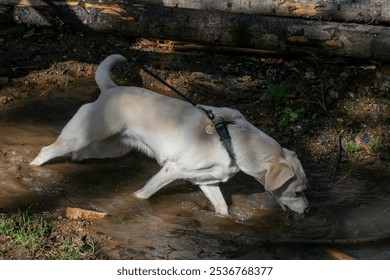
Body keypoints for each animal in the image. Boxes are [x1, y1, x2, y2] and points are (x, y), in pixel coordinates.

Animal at [30, 54, 310, 217]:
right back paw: (32, 168)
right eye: (298, 192)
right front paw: (135, 202)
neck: (232, 143)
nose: (307, 210)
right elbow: (144, 194)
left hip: (110, 147)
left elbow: (222, 209)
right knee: (45, 151)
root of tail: (109, 88)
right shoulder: (171, 170)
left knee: (78, 155)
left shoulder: (208, 181)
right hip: (78, 136)